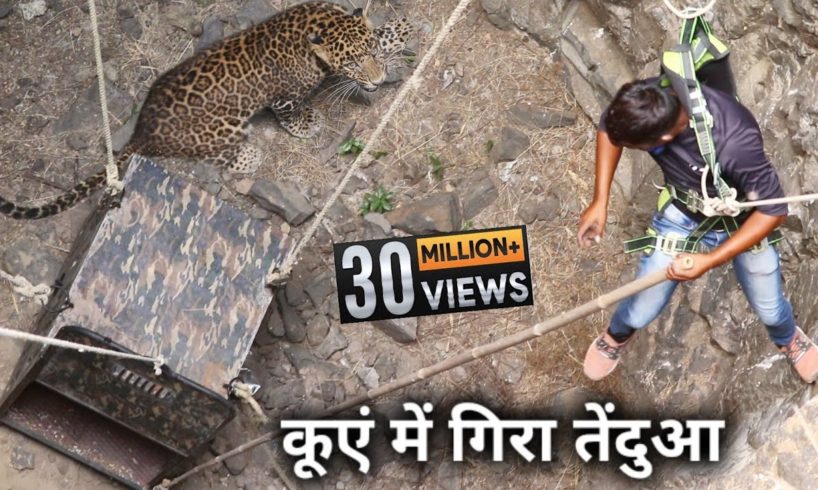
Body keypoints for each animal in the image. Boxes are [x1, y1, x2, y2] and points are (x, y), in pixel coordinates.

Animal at [0, 1, 413, 220]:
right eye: (353, 63)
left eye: (370, 55)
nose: (378, 81)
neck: (318, 24)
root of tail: (142, 130)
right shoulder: (282, 95)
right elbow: (289, 112)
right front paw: (305, 123)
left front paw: (399, 30)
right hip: (224, 127)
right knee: (214, 154)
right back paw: (248, 154)